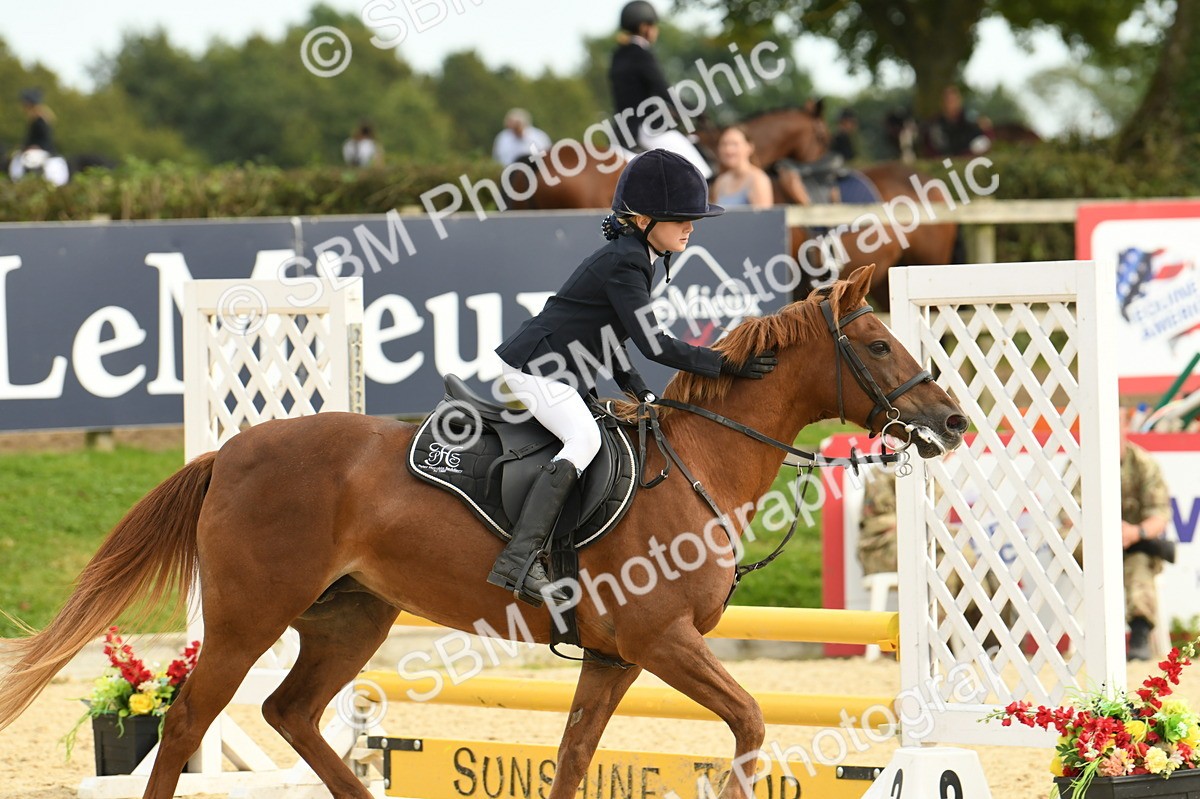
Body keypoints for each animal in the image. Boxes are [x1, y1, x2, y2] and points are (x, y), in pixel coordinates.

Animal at [0, 265, 967, 799]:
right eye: (878, 345)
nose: (953, 420)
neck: (703, 461)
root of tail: (231, 451)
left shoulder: (616, 657)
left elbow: (574, 759)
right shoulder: (662, 639)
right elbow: (752, 724)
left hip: (350, 616)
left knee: (291, 711)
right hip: (248, 617)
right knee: (191, 722)